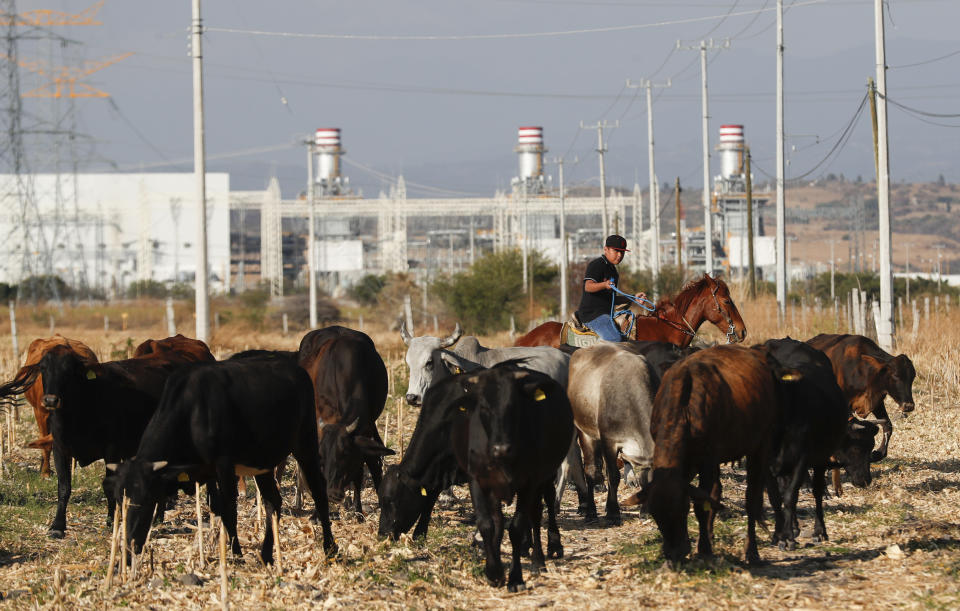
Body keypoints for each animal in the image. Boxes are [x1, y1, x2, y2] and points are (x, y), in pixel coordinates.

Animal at [16, 334, 97, 478]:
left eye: (68, 370)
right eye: (43, 369)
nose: (50, 400)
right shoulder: (41, 414)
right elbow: (47, 445)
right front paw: (45, 473)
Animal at [112, 354, 336, 564]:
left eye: (147, 498)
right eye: (119, 499)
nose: (129, 549)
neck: (192, 411)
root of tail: (297, 370)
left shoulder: (224, 465)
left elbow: (229, 511)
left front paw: (237, 554)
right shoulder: (209, 471)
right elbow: (218, 508)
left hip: (305, 445)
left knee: (319, 491)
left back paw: (330, 547)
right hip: (262, 464)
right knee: (273, 502)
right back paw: (266, 555)